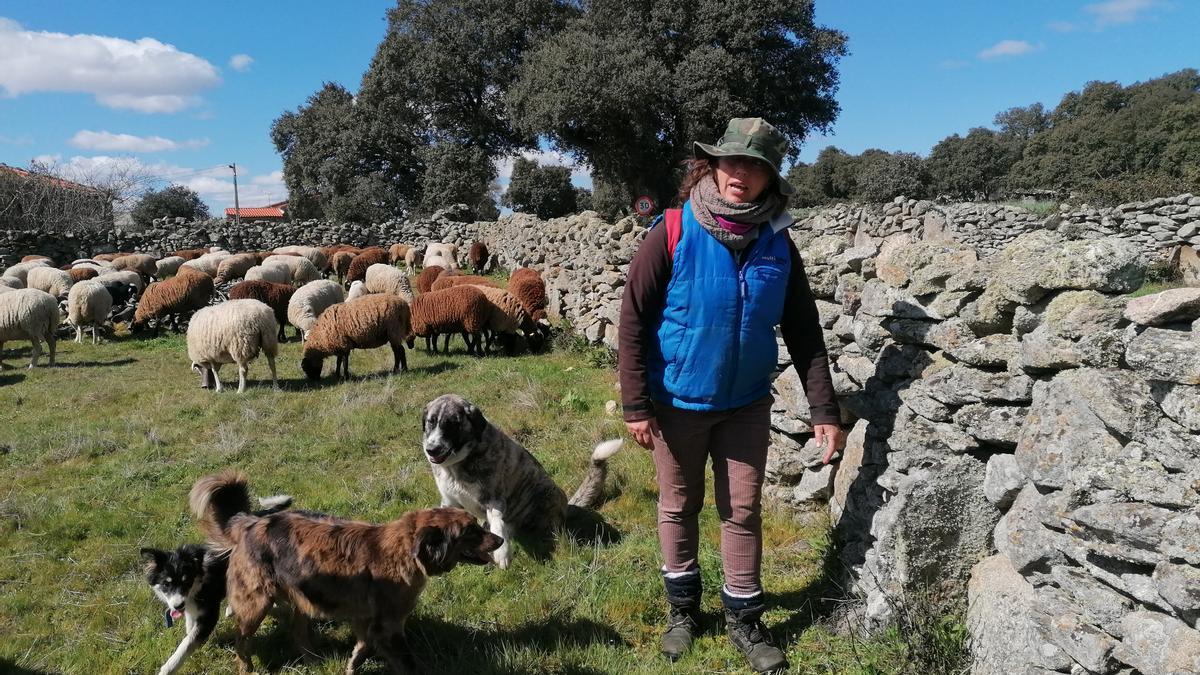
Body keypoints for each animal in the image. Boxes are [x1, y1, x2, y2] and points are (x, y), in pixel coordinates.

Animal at [192, 470, 501, 667]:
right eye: (470, 531)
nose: (500, 540)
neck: (404, 550)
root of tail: (251, 522)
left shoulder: (366, 622)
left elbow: (360, 651)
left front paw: (351, 665)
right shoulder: (389, 627)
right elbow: (408, 663)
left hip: (301, 598)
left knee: (298, 634)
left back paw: (313, 662)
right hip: (255, 606)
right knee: (241, 645)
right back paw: (249, 668)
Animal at [420, 391, 624, 564]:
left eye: (452, 424)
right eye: (431, 422)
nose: (432, 449)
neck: (457, 464)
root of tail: (567, 506)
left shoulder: (494, 500)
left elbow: (497, 524)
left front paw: (502, 553)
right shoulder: (449, 501)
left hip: (548, 492)